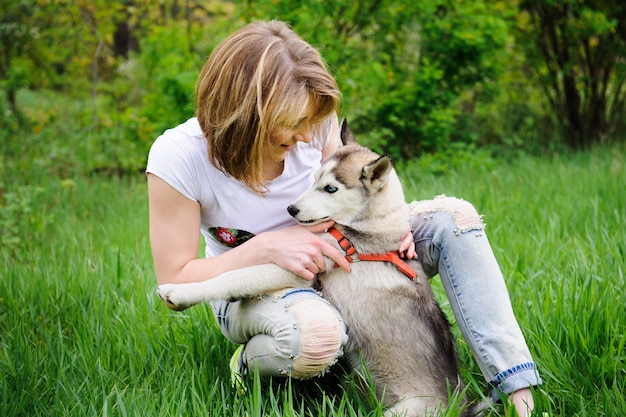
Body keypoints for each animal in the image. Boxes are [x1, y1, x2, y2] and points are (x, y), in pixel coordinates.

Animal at [156, 122, 478, 414]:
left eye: (331, 188)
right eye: (314, 180)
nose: (291, 209)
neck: (365, 228)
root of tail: (460, 405)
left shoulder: (305, 265)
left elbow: (235, 276)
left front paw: (179, 292)